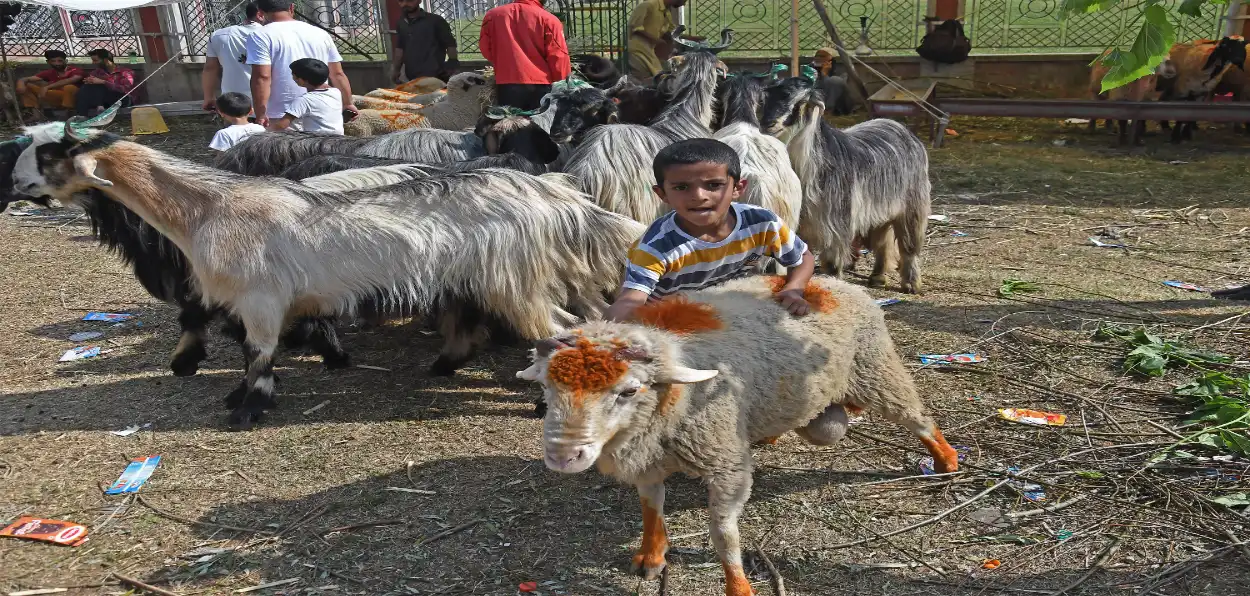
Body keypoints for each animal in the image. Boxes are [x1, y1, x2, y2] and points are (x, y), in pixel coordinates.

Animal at [17, 118, 645, 429]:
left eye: (52, 158)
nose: (21, 187)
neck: (208, 209)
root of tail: (557, 197)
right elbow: (253, 345)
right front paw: (239, 393)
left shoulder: (260, 297)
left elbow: (259, 353)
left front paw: (248, 408)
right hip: (519, 277)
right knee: (579, 321)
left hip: (511, 278)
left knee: (556, 328)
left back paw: (543, 400)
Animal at [515, 273, 955, 594]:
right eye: (547, 388)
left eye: (628, 391)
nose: (563, 456)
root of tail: (833, 282)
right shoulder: (648, 458)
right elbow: (651, 507)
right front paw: (652, 556)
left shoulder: (724, 461)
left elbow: (724, 534)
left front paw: (738, 585)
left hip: (876, 371)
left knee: (916, 416)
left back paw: (946, 459)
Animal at [755, 75, 935, 293]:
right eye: (766, 98)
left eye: (800, 102)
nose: (768, 123)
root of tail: (899, 126)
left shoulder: (836, 221)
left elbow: (832, 261)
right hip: (880, 212)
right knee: (882, 242)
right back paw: (877, 277)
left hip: (912, 206)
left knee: (909, 245)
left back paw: (910, 283)